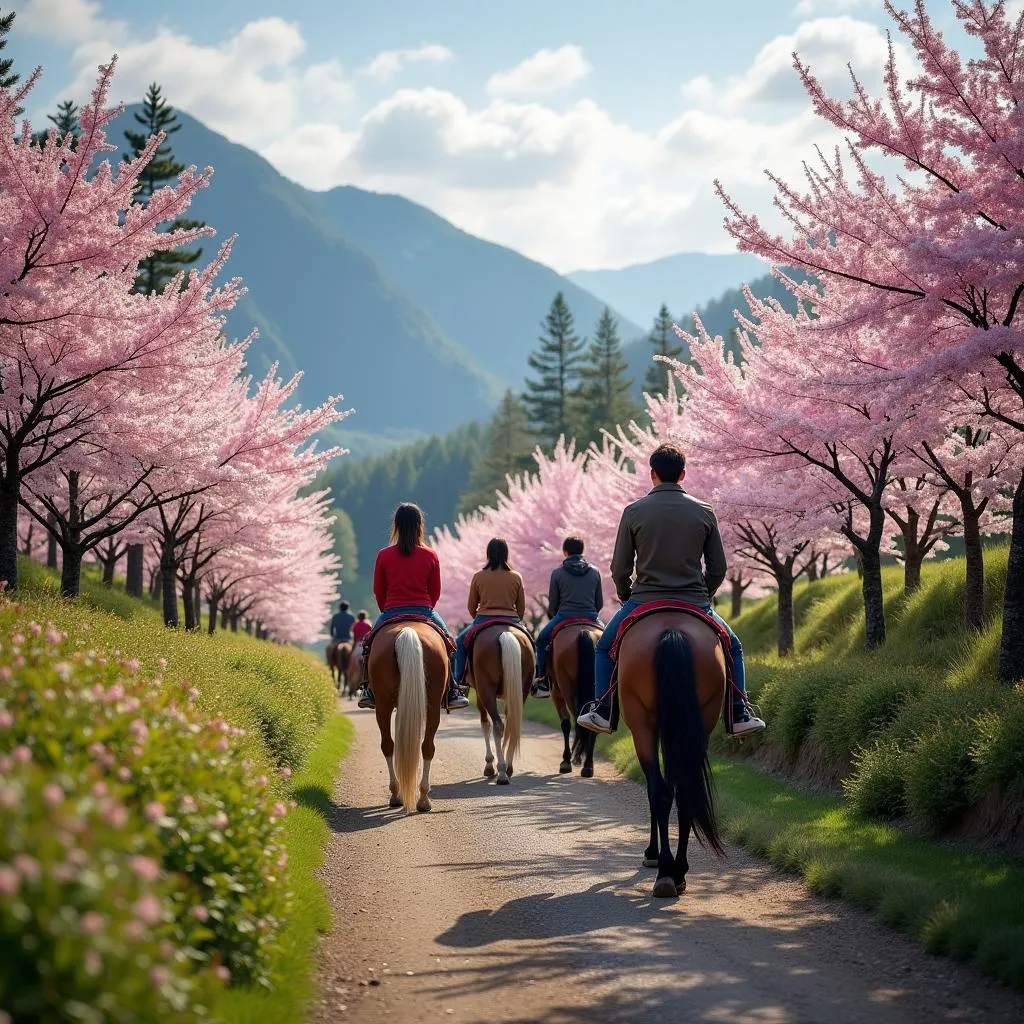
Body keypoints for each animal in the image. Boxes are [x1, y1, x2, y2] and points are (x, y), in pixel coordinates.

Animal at [368, 618, 448, 811]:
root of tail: (408, 631)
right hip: (432, 704)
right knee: (426, 747)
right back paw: (423, 798)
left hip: (383, 704)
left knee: (389, 745)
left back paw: (398, 794)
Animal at [468, 622, 536, 782]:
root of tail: (506, 633)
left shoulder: (480, 693)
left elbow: (485, 724)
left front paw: (489, 764)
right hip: (522, 689)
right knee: (512, 724)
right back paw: (508, 768)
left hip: (486, 689)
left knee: (498, 725)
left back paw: (502, 772)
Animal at [548, 622, 602, 774]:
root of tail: (584, 632)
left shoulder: (556, 694)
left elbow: (566, 724)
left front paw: (566, 759)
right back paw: (588, 765)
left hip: (566, 688)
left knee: (577, 721)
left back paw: (574, 759)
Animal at [614, 610, 729, 901]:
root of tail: (671, 632)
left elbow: (652, 792)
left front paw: (652, 853)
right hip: (702, 720)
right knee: (686, 795)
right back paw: (678, 873)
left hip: (641, 725)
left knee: (661, 793)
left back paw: (665, 871)